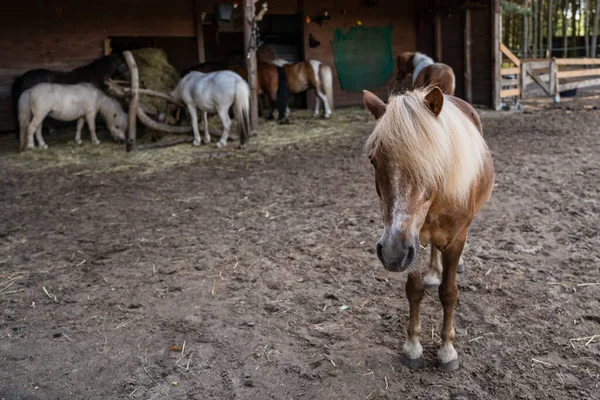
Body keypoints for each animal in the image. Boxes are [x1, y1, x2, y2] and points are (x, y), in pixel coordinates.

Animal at [364, 86, 494, 370]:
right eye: (373, 161)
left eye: (433, 161)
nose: (391, 253)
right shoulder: (413, 241)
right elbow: (414, 290)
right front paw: (412, 347)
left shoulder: (454, 241)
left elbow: (449, 293)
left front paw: (447, 350)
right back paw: (433, 272)